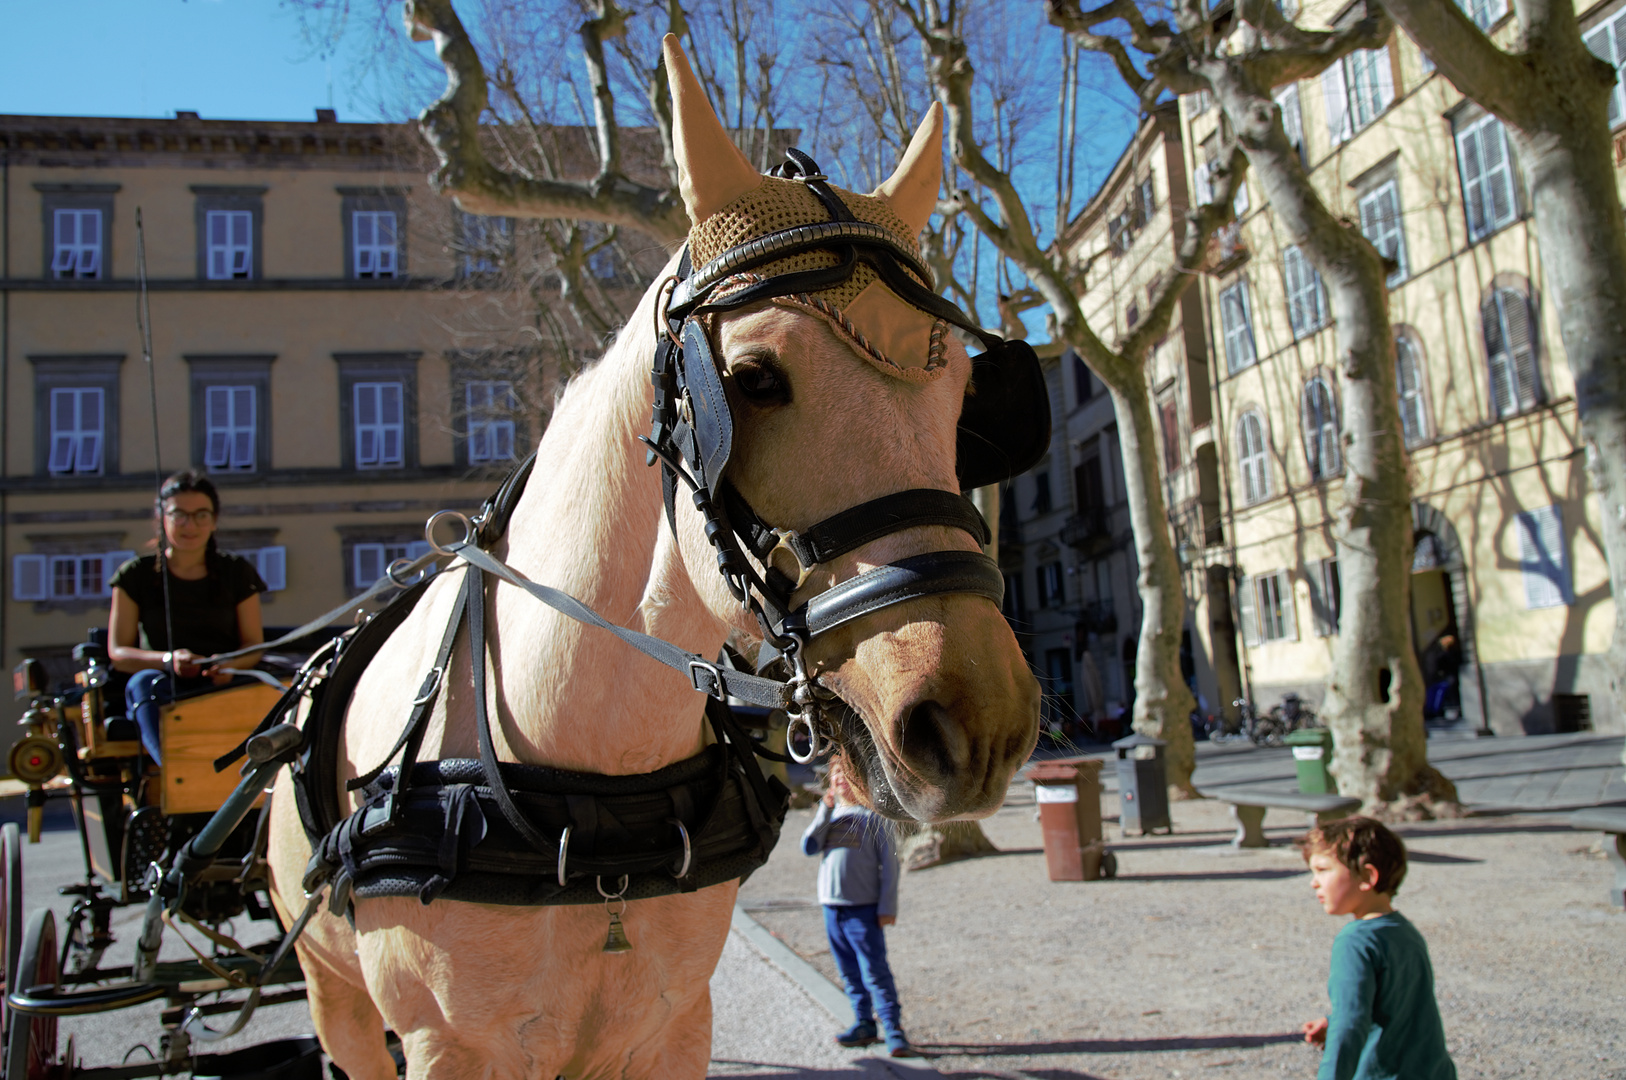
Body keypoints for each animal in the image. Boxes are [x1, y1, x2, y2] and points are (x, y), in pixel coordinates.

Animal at [260, 38, 1034, 1073]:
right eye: (752, 379)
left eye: (960, 401)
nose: (979, 722)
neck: (589, 793)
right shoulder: (450, 1043)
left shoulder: (670, 1023)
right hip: (333, 995)